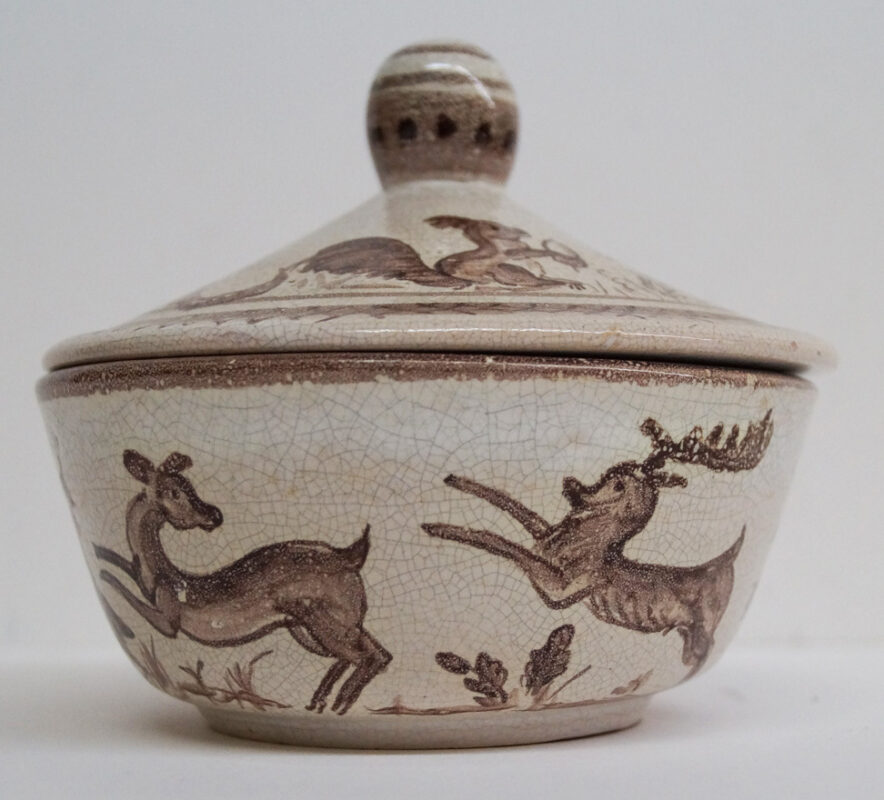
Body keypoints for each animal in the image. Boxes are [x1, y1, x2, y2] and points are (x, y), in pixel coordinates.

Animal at [94, 450, 392, 714]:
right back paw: (318, 703)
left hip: (324, 617)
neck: (162, 579)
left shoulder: (170, 621)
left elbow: (118, 583)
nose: (214, 515)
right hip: (315, 625)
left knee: (369, 655)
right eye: (175, 491)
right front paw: (101, 553)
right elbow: (117, 565)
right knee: (370, 652)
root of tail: (353, 556)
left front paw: (126, 629)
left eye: (189, 487)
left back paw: (339, 705)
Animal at [422, 411, 773, 678]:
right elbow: (515, 509)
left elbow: (508, 545)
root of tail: (727, 560)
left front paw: (436, 526)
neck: (583, 543)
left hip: (705, 627)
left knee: (703, 652)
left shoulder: (556, 590)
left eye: (617, 484)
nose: (571, 485)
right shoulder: (543, 540)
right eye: (610, 472)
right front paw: (455, 482)